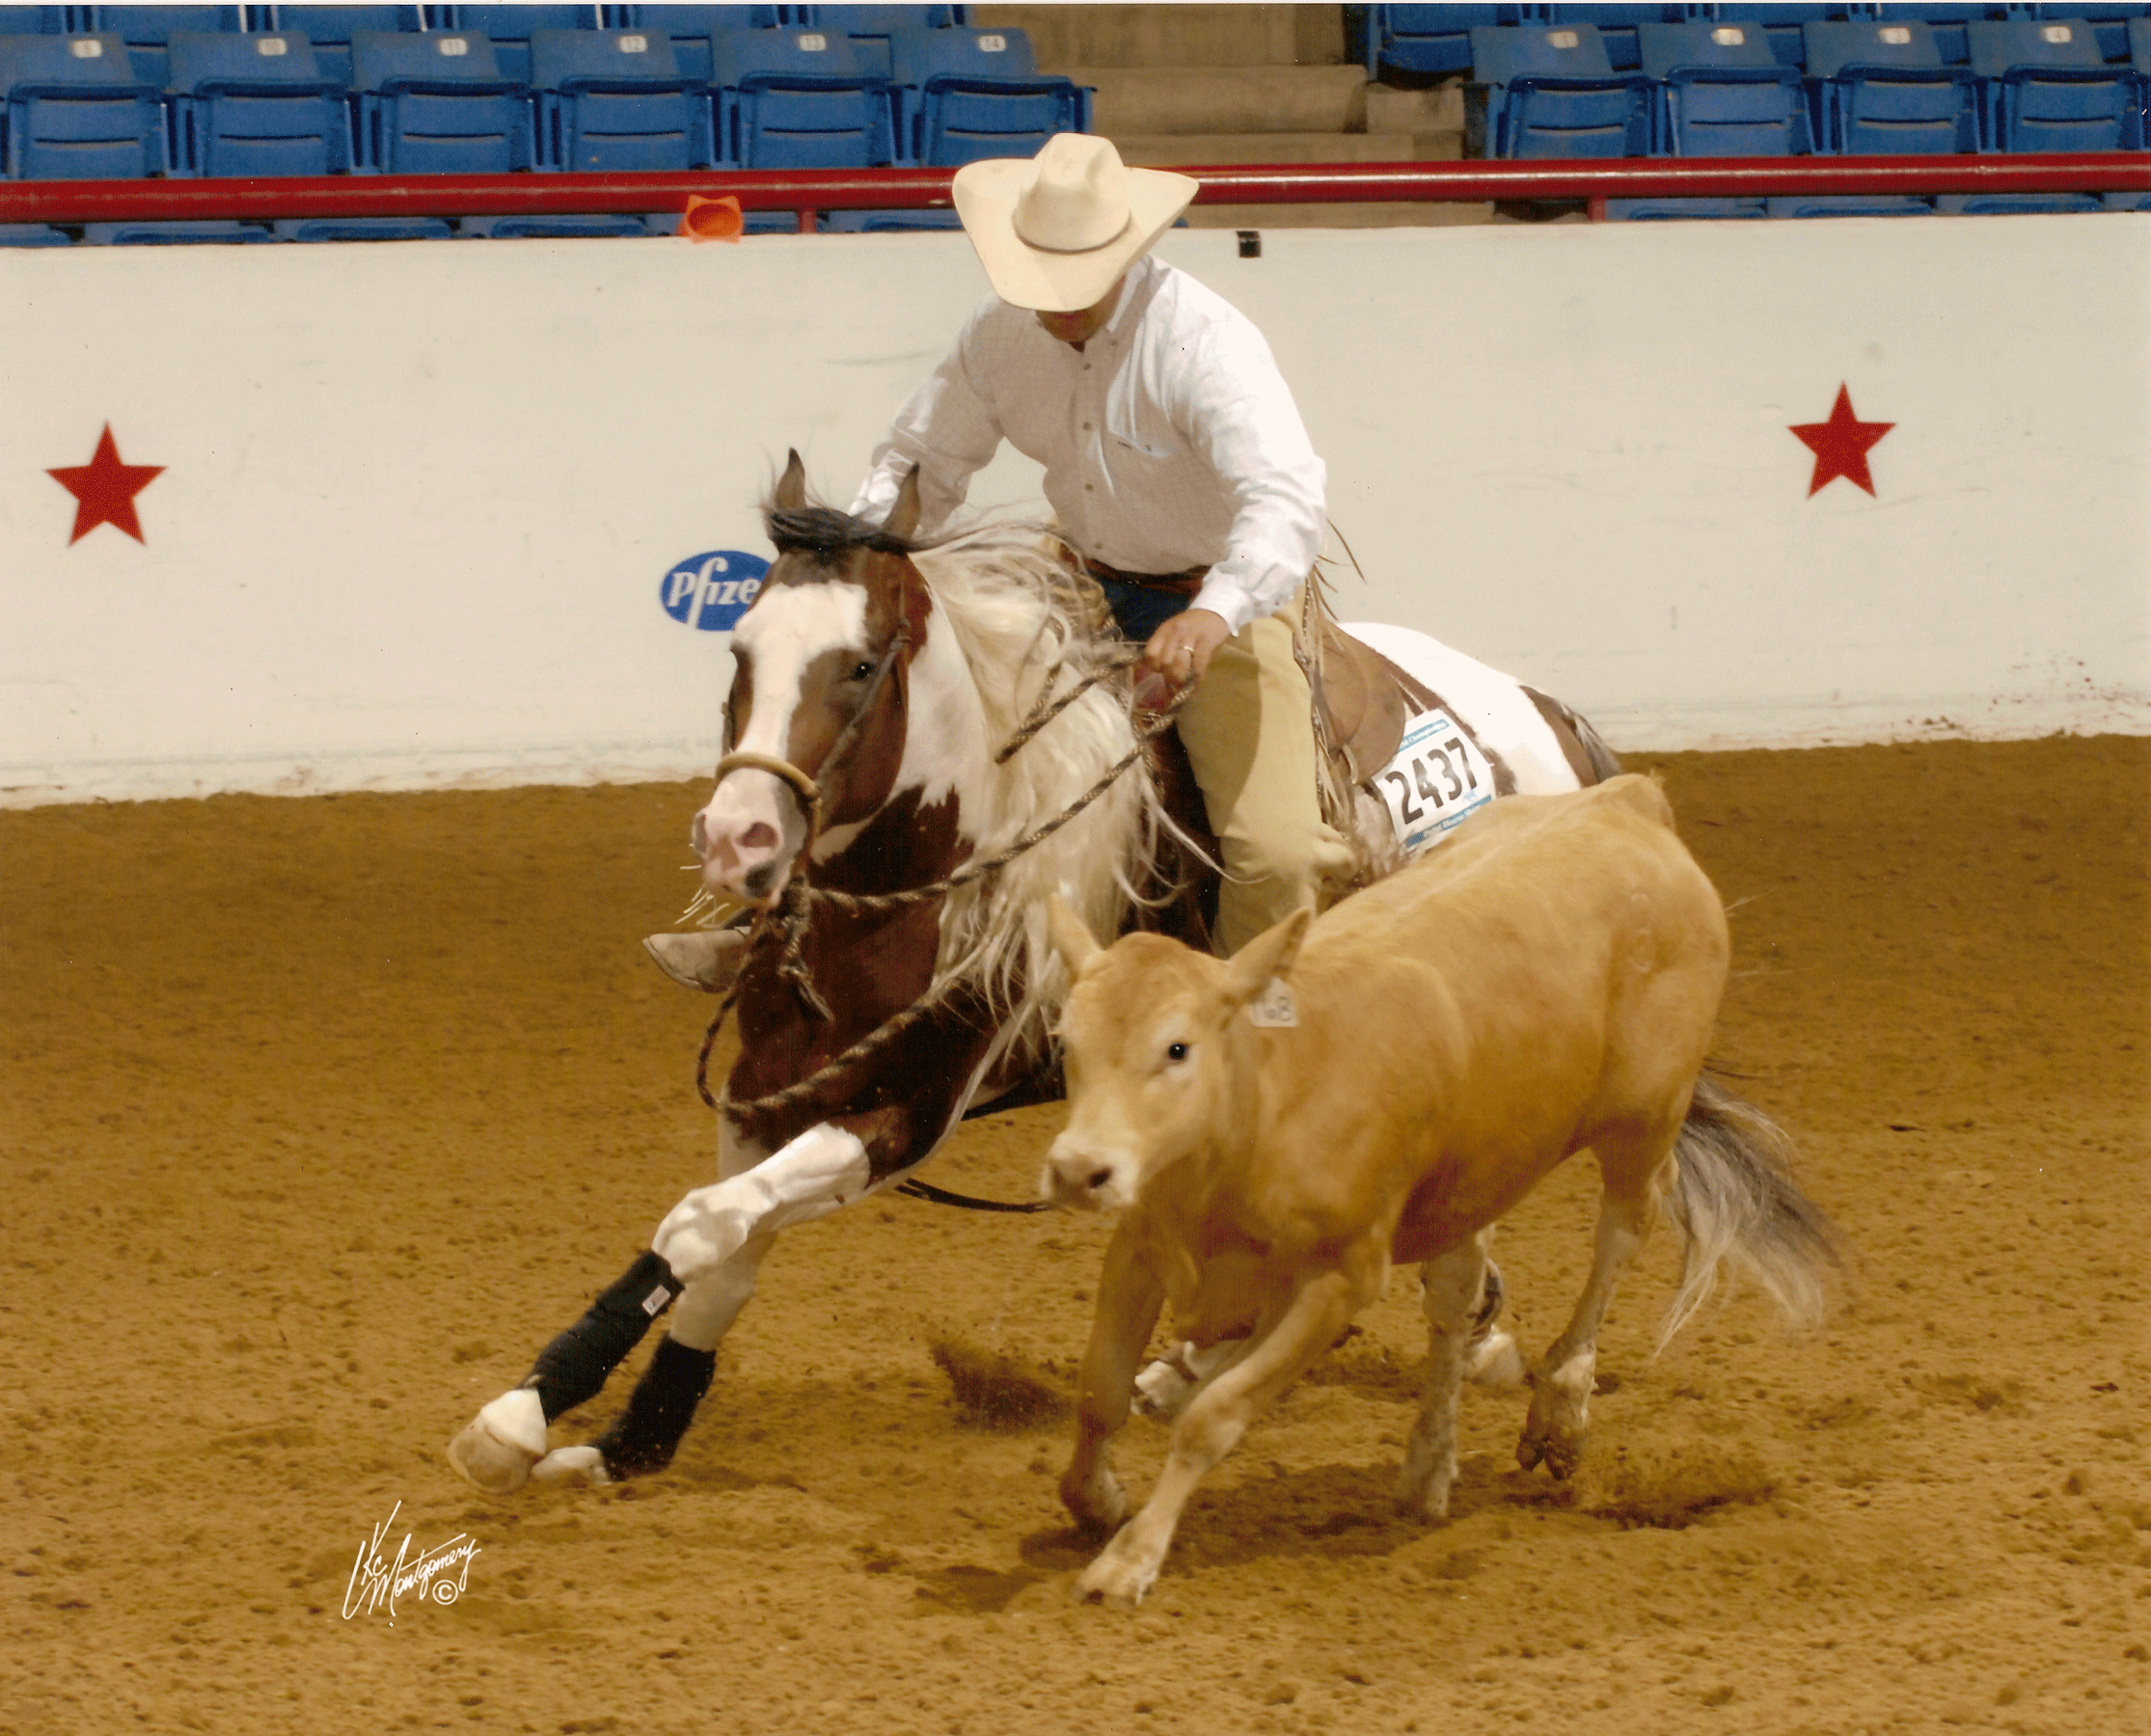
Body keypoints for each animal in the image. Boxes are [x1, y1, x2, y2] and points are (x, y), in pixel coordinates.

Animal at [1036, 778, 1832, 1609]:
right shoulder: (1141, 1246)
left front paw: (1130, 1559)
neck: (1268, 1102)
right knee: (1457, 1296)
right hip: (1474, 1176)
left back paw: (1560, 1406)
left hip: (1645, 1120)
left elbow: (1213, 1415)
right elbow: (1100, 1389)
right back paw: (1427, 1468)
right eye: (1067, 1042)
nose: (1078, 1169)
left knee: (1622, 1229)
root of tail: (1624, 799)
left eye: (1177, 1047)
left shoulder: (1342, 1277)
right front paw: (1097, 1500)